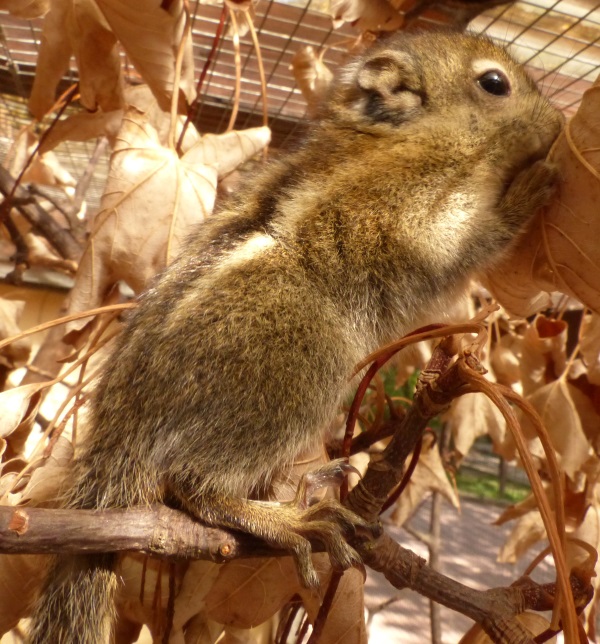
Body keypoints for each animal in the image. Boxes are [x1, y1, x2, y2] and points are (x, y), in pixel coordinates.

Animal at [27, 31, 564, 644]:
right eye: (495, 83)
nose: (558, 122)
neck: (400, 138)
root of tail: (119, 439)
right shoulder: (404, 210)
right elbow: (463, 235)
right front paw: (532, 185)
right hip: (299, 361)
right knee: (194, 485)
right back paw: (287, 519)